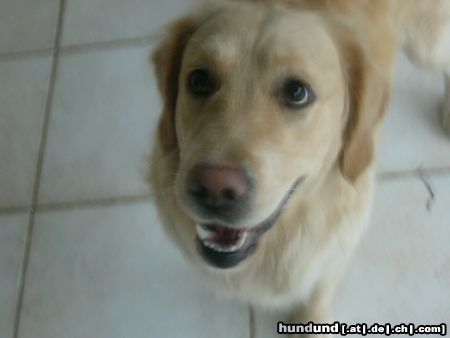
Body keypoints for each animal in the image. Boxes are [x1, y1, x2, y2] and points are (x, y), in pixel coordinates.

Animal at [149, 0, 448, 332]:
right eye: (198, 81)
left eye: (297, 92)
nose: (214, 187)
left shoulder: (334, 249)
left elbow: (318, 290)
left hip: (427, 44)